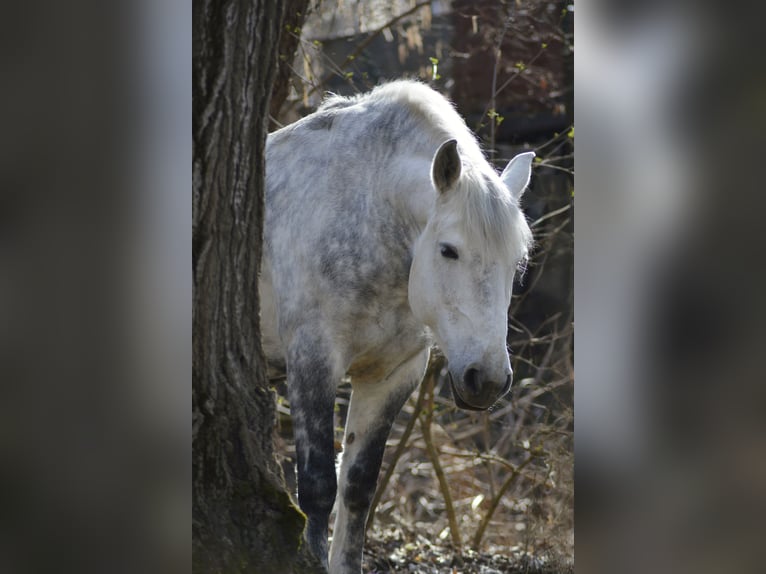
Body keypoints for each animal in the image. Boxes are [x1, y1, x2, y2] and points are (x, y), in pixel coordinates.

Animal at [260, 80, 534, 573]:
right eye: (448, 250)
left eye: (517, 262)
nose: (486, 379)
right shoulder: (313, 361)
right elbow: (317, 489)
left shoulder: (392, 374)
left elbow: (357, 487)